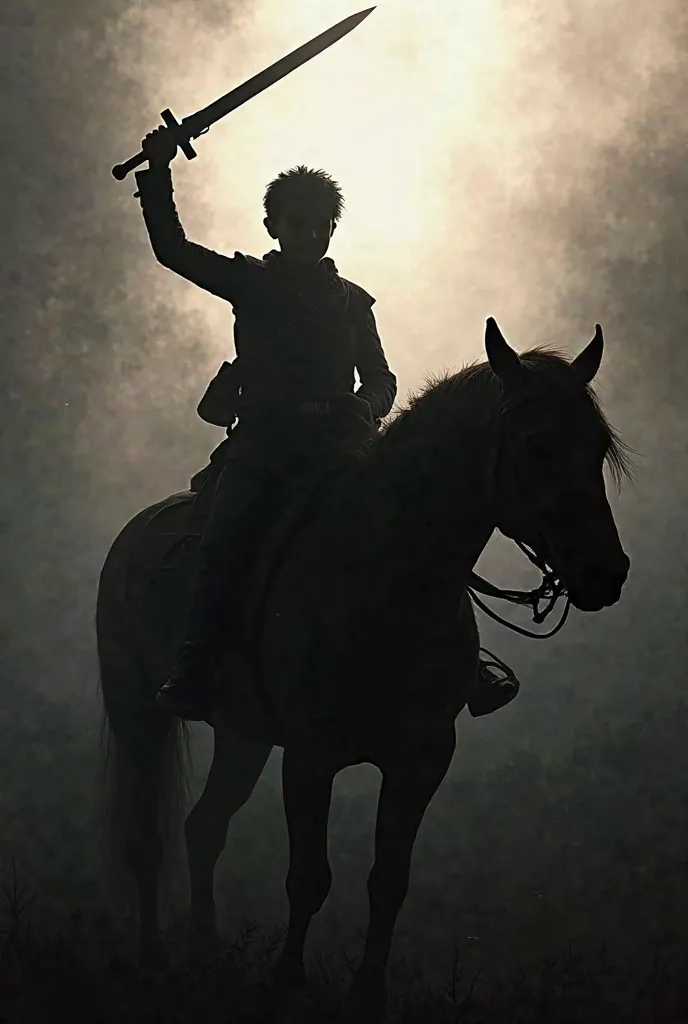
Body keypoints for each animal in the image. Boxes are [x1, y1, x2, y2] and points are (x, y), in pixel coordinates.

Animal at [95, 317, 630, 1015]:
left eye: (597, 446)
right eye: (535, 444)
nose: (606, 572)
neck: (386, 571)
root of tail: (132, 535)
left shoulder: (421, 758)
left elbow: (389, 880)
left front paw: (368, 993)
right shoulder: (310, 756)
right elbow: (308, 876)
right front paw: (286, 980)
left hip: (242, 737)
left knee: (203, 827)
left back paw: (203, 955)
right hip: (138, 715)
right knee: (147, 841)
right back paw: (156, 961)